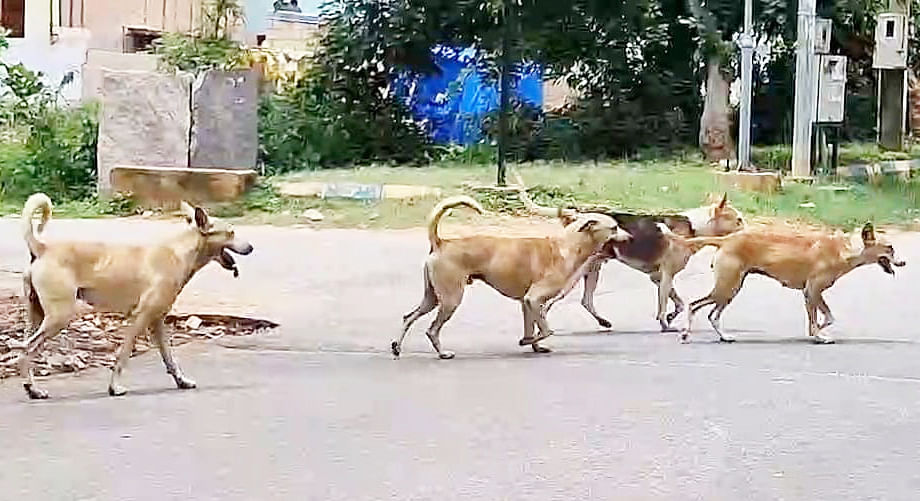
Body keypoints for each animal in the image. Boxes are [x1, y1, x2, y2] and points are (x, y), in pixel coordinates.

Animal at [17, 191, 255, 398]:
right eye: (231, 232)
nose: (251, 247)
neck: (180, 252)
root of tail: (42, 248)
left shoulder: (157, 321)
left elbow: (169, 358)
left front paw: (181, 380)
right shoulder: (141, 317)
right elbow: (123, 355)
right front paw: (115, 387)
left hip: (37, 315)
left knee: (25, 348)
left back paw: (31, 387)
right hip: (59, 317)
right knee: (26, 348)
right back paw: (33, 388)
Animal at [392, 195, 636, 360]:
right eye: (614, 227)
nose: (631, 237)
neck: (568, 244)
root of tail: (441, 242)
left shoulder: (527, 303)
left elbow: (534, 327)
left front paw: (535, 346)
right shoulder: (534, 299)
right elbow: (546, 330)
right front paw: (527, 341)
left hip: (432, 297)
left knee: (408, 317)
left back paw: (397, 346)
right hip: (451, 299)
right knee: (431, 330)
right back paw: (443, 353)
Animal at [684, 223, 904, 344]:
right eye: (890, 248)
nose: (903, 262)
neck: (843, 250)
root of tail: (726, 239)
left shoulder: (810, 295)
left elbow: (823, 319)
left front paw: (816, 332)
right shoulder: (813, 291)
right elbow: (823, 319)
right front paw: (819, 336)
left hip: (730, 290)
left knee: (712, 315)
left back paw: (724, 337)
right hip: (726, 288)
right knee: (694, 306)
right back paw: (686, 334)